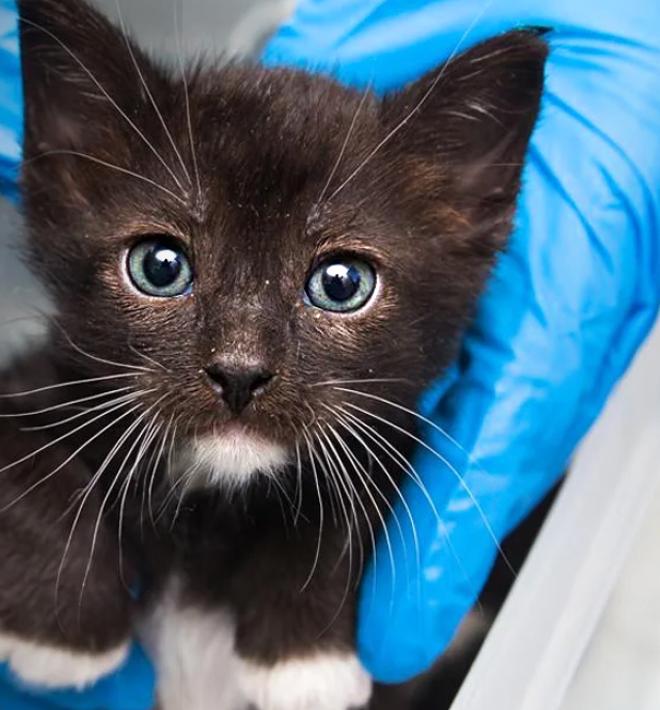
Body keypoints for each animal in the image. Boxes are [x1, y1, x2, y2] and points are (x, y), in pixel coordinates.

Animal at [0, 2, 548, 708]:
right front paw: (64, 635)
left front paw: (303, 660)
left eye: (341, 283)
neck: (214, 495)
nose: (239, 371)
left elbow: (356, 493)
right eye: (159, 267)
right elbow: (27, 467)